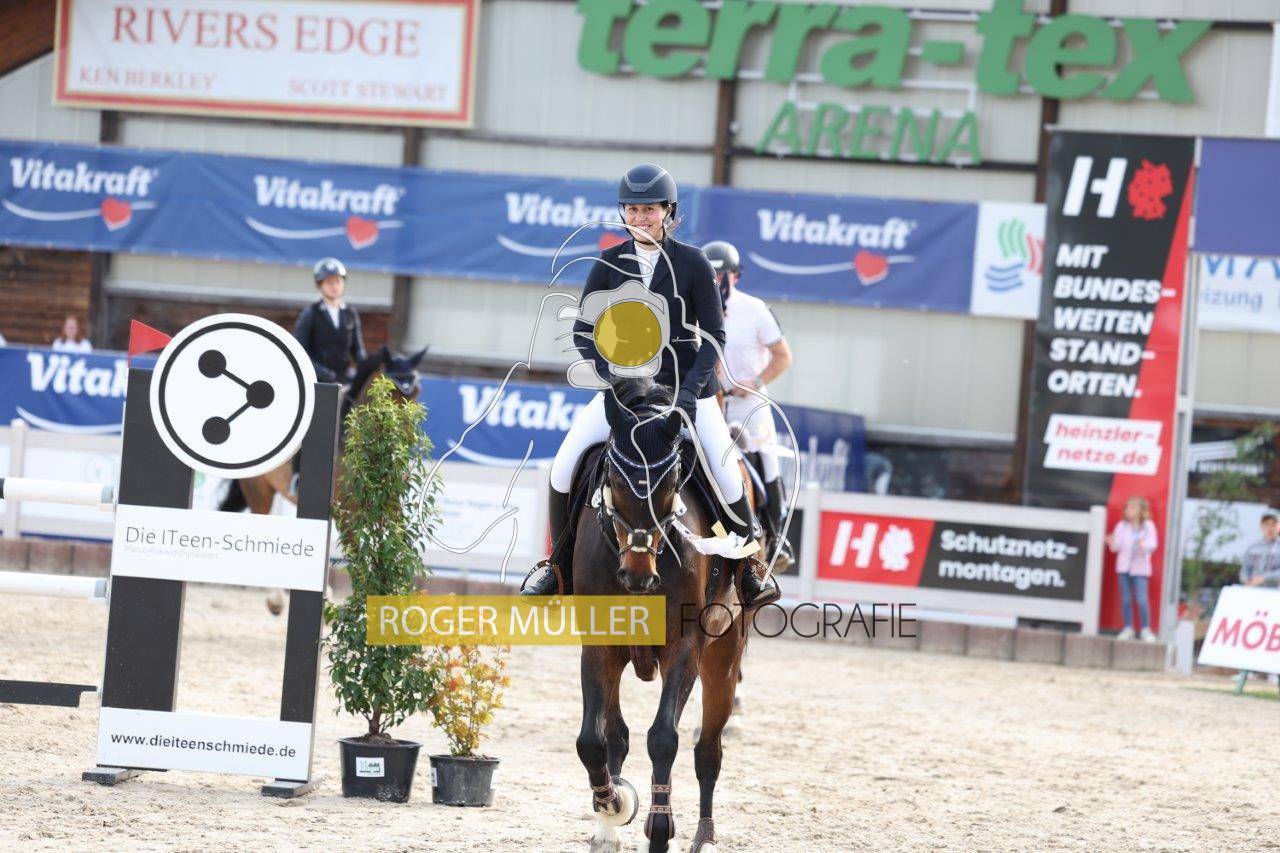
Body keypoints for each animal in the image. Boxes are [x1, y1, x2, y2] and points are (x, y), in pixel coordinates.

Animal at [217, 345, 427, 614]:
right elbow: (356, 554)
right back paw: (277, 600)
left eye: (416, 393)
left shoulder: (388, 506)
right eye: (390, 392)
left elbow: (400, 546)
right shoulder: (346, 514)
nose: (402, 443)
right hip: (258, 489)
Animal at [572, 378, 752, 853]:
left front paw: (659, 826)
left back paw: (704, 836)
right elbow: (592, 741)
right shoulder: (599, 645)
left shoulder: (684, 647)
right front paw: (613, 804)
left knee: (708, 751)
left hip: (723, 658)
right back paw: (607, 829)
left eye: (671, 482)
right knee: (616, 734)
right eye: (614, 479)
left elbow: (663, 738)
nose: (637, 576)